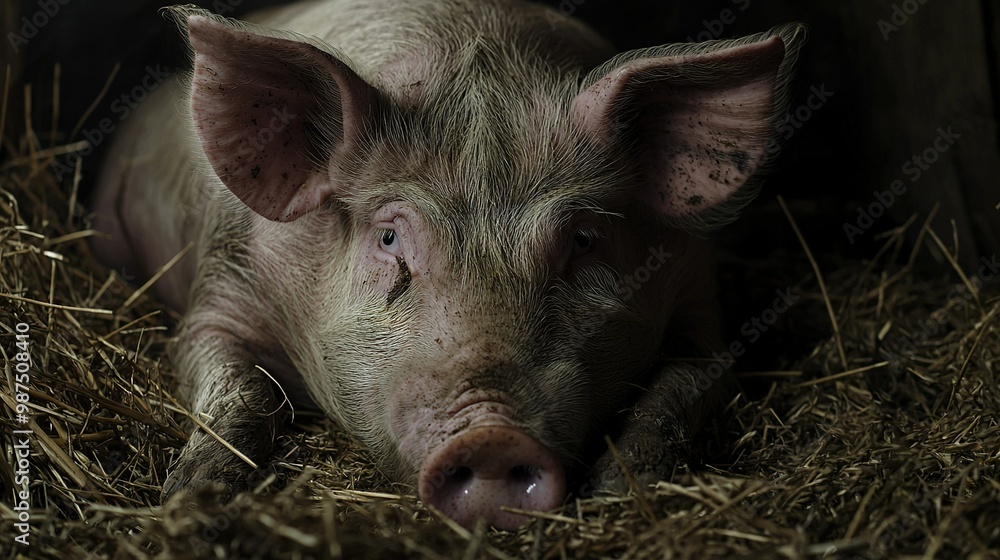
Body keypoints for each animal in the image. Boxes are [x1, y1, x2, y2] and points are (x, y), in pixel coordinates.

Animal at [91, 0, 804, 530]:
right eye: (388, 239)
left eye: (582, 240)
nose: (491, 439)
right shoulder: (223, 287)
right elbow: (236, 384)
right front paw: (193, 495)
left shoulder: (698, 296)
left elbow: (687, 383)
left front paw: (619, 491)